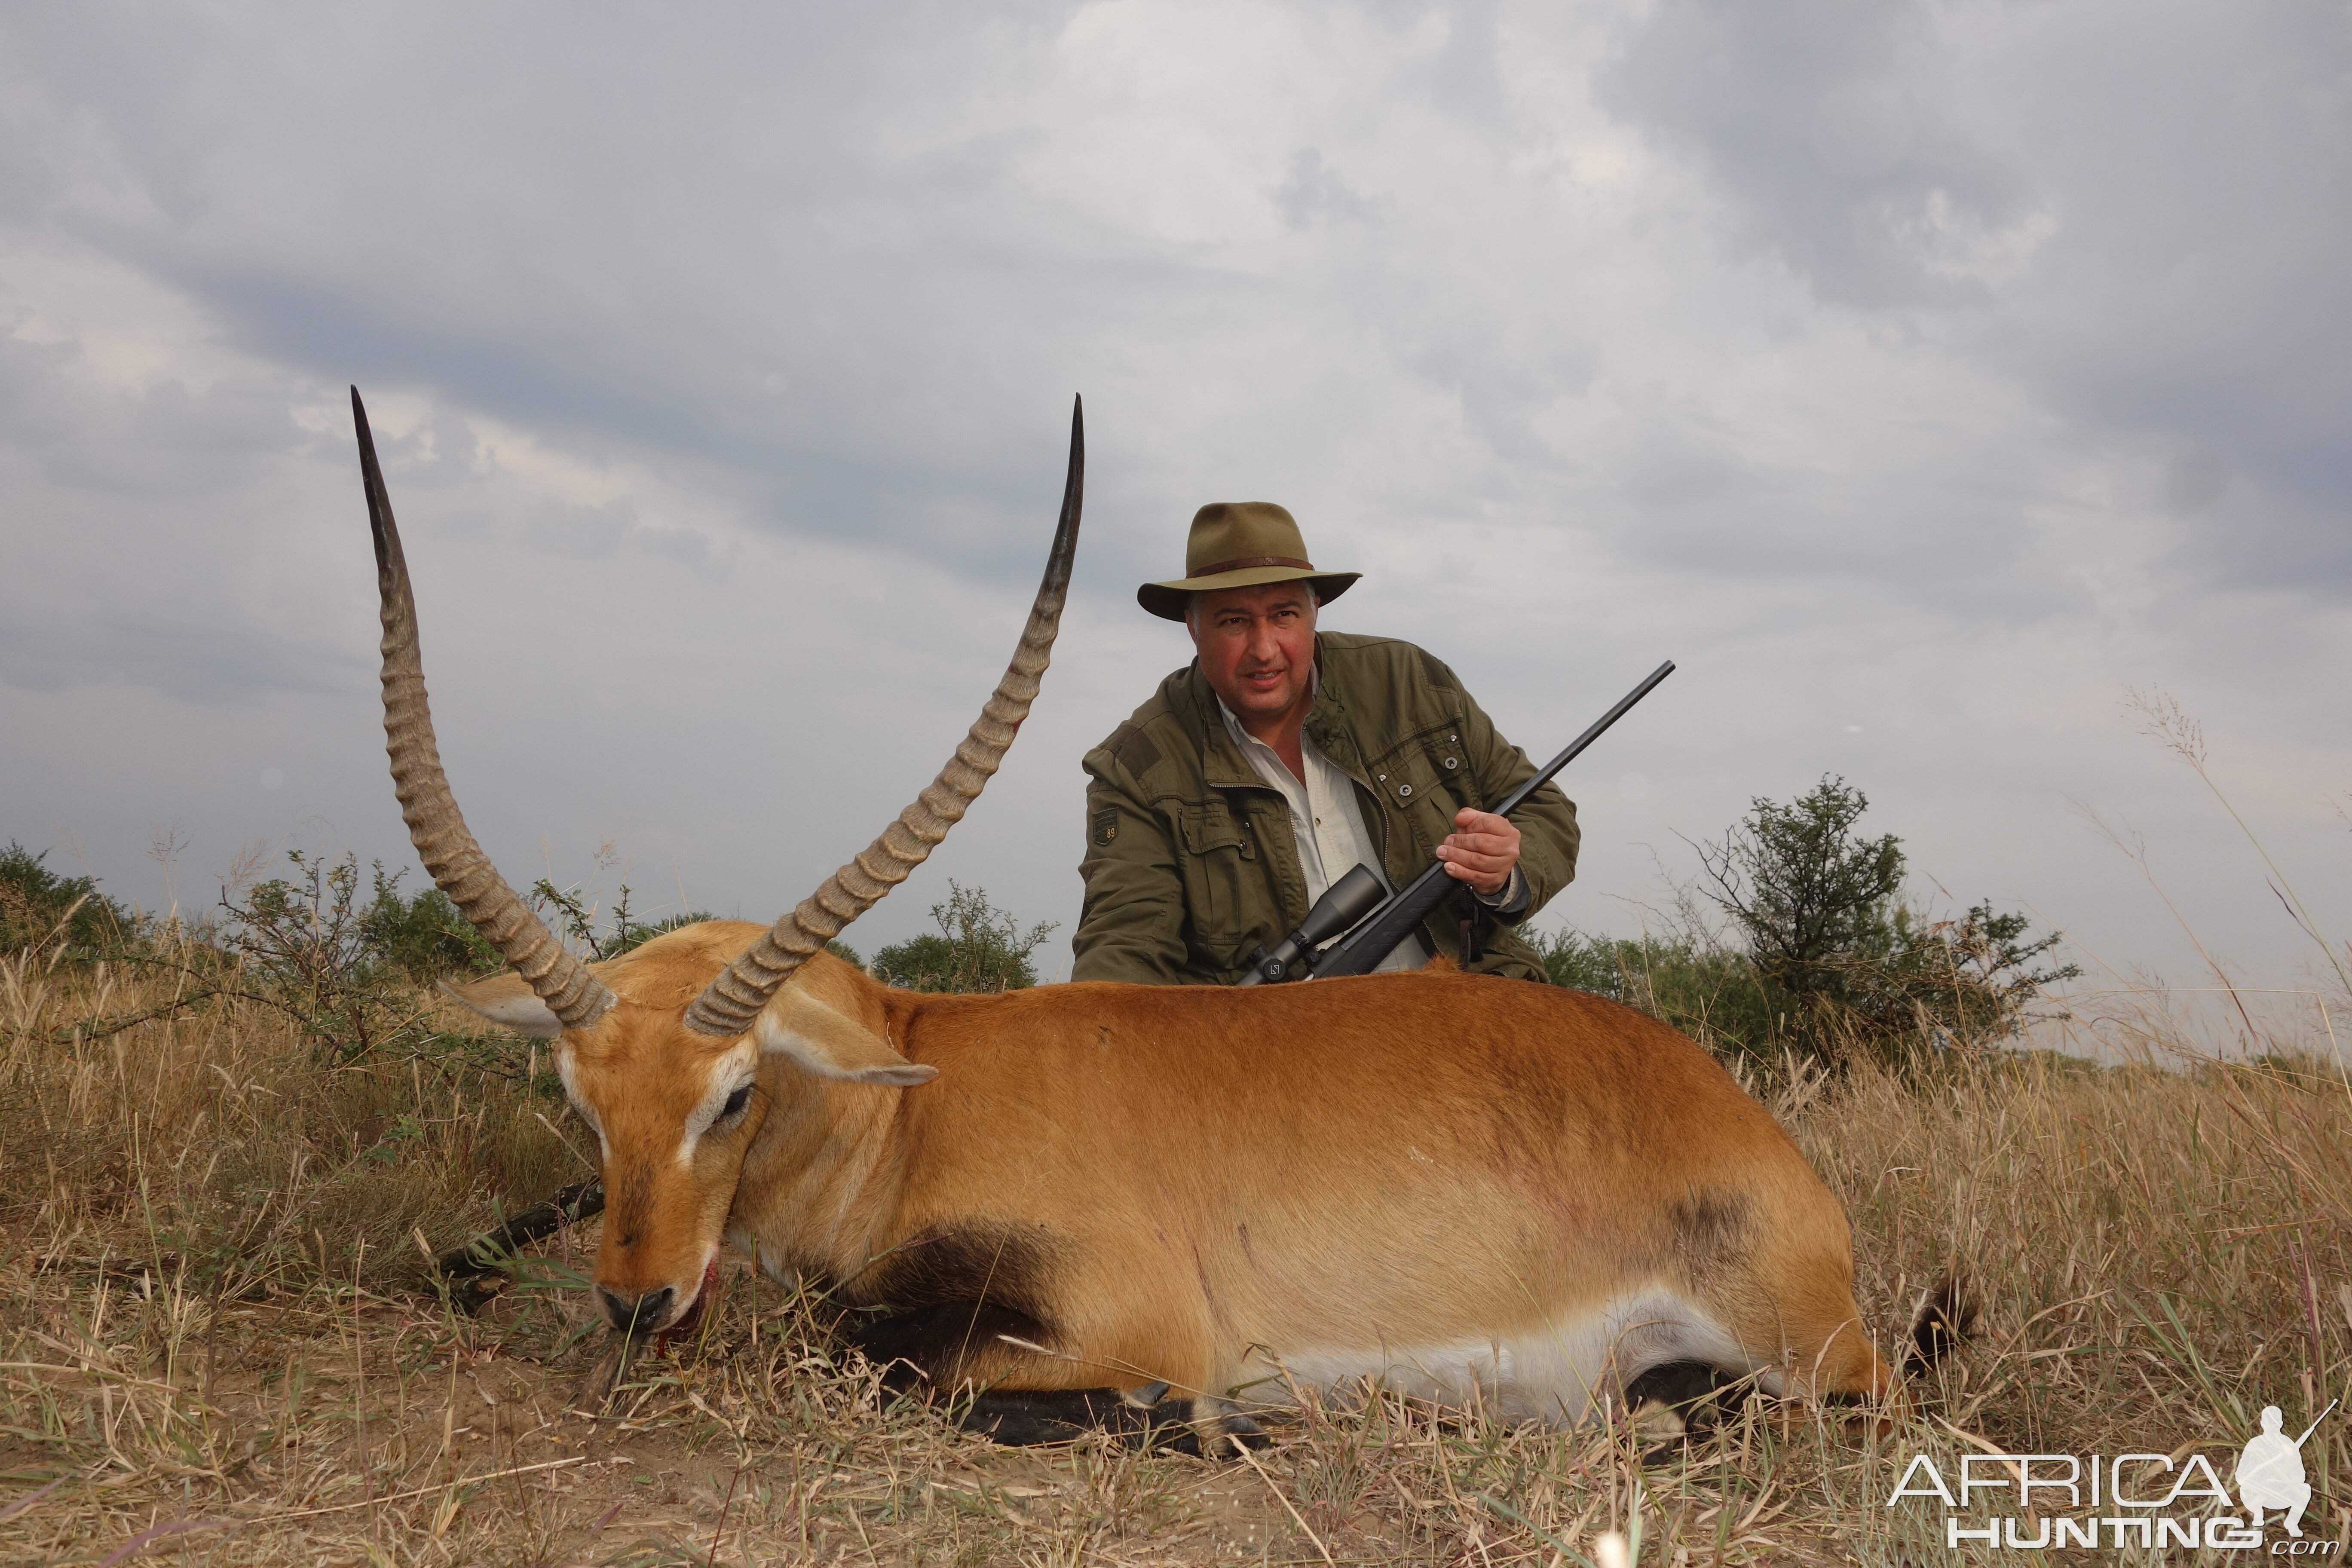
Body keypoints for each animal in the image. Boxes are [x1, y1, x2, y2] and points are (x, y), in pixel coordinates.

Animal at [352, 385, 1966, 1457]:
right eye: (580, 1099)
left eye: (734, 1093)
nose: (637, 1300)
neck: (919, 1095)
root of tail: (1749, 1130)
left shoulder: (1124, 1321)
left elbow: (899, 1363)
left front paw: (1232, 1421)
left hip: (1820, 1364)